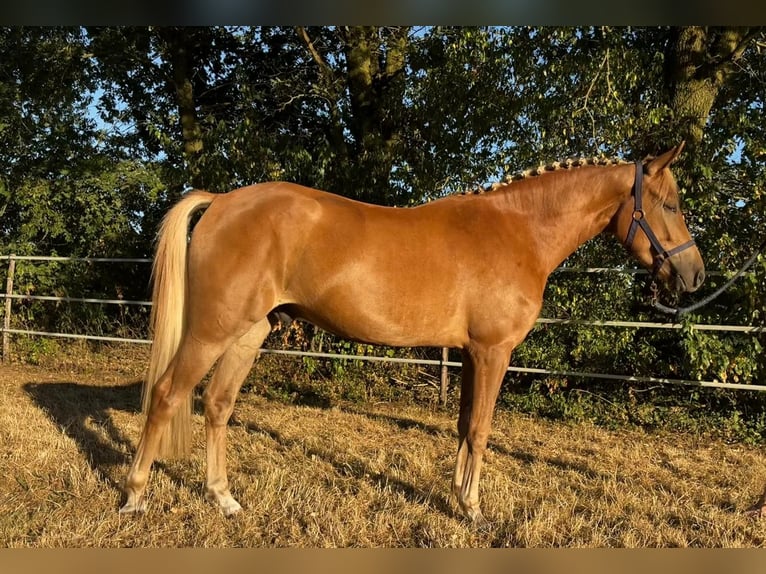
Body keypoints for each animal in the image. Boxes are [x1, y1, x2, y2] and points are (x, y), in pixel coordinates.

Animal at [119, 142, 705, 527]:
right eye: (670, 204)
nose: (695, 275)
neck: (519, 230)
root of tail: (221, 201)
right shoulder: (494, 351)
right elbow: (480, 431)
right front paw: (474, 511)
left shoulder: (469, 354)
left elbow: (465, 425)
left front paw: (457, 498)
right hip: (211, 330)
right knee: (168, 394)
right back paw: (135, 496)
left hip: (249, 332)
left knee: (217, 404)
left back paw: (224, 499)